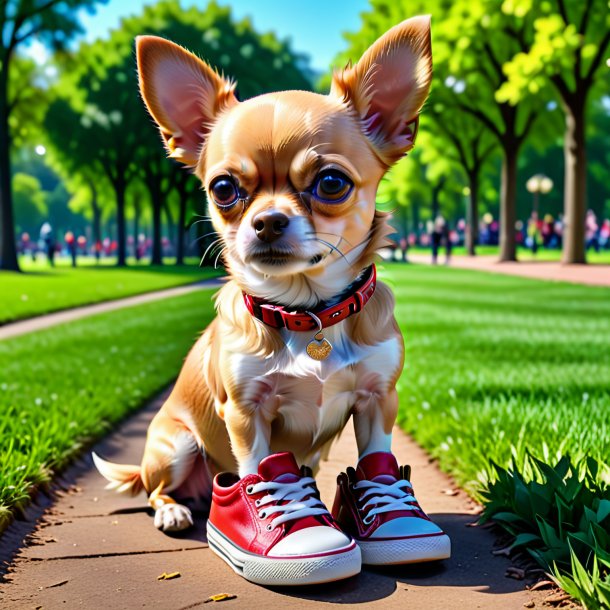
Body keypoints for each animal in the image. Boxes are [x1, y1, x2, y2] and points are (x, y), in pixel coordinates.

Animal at [94, 16, 446, 580]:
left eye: (331, 182)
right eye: (223, 189)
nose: (267, 220)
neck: (308, 312)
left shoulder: (377, 400)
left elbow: (376, 458)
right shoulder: (245, 411)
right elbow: (257, 466)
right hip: (176, 444)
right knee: (155, 490)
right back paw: (173, 510)